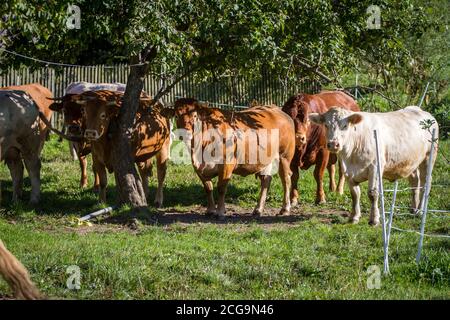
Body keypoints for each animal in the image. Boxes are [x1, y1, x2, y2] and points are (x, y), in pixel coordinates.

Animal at [163, 97, 298, 218]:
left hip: (284, 157)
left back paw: (285, 209)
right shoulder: (199, 169)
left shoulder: (227, 164)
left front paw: (220, 212)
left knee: (286, 179)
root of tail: (277, 110)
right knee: (266, 180)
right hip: (265, 161)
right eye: (176, 116)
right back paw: (258, 209)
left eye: (195, 116)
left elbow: (221, 188)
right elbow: (208, 188)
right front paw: (210, 210)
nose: (185, 133)